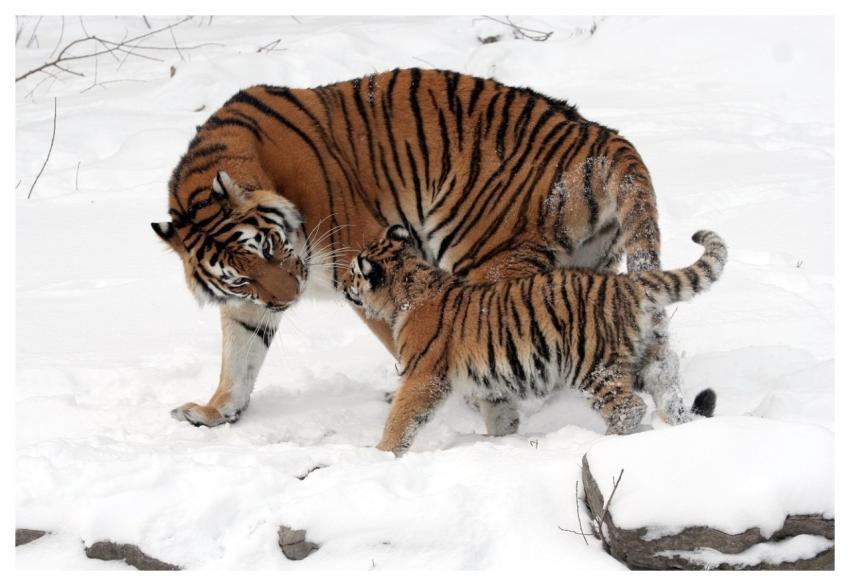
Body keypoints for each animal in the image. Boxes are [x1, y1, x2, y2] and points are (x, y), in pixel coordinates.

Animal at [151, 67, 689, 429]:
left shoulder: (360, 260)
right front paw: (215, 411)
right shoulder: (250, 302)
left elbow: (407, 338)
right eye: (240, 276)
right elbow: (239, 355)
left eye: (268, 247)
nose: (288, 299)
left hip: (487, 256)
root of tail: (602, 135)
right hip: (590, 265)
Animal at [343, 225, 725, 455]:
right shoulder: (491, 383)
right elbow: (500, 415)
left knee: (629, 407)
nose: (344, 285)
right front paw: (498, 441)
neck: (409, 286)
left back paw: (602, 444)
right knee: (668, 389)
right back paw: (679, 428)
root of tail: (628, 283)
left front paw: (381, 453)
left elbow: (402, 417)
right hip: (647, 357)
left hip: (593, 366)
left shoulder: (423, 376)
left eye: (353, 273)